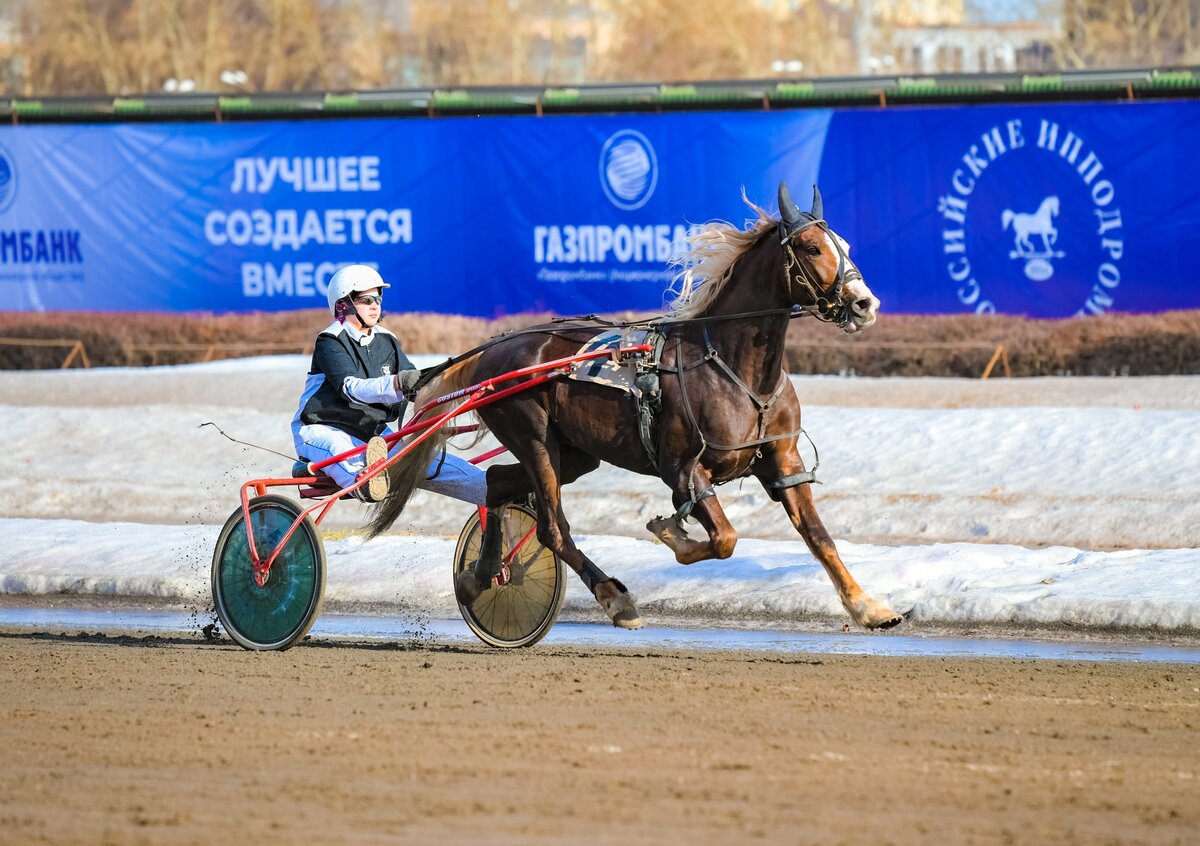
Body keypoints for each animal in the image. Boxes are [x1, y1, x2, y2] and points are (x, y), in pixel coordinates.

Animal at [369, 183, 902, 633]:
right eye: (811, 248)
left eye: (845, 245)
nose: (865, 304)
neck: (733, 367)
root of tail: (495, 350)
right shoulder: (683, 469)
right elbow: (724, 538)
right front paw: (670, 533)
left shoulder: (783, 461)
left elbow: (819, 536)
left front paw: (869, 606)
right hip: (534, 436)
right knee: (552, 528)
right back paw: (613, 597)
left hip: (576, 454)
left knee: (498, 483)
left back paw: (479, 576)